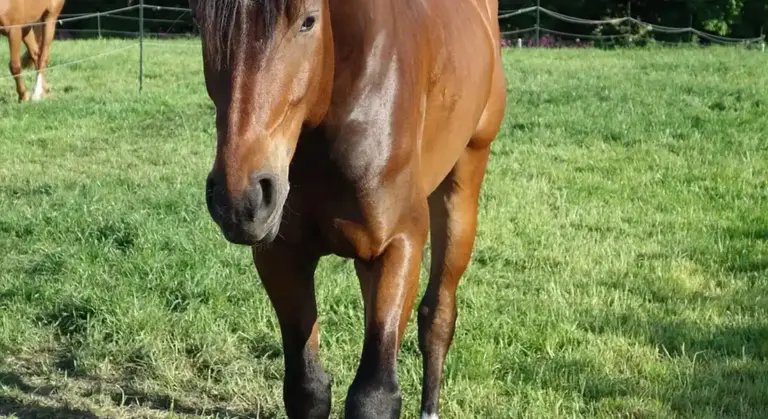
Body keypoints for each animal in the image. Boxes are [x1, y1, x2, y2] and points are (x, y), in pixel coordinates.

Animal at [190, 0, 506, 417]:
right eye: (198, 21)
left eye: (308, 20)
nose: (241, 200)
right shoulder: (281, 255)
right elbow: (307, 389)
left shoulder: (399, 244)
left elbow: (374, 395)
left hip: (465, 180)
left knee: (438, 316)